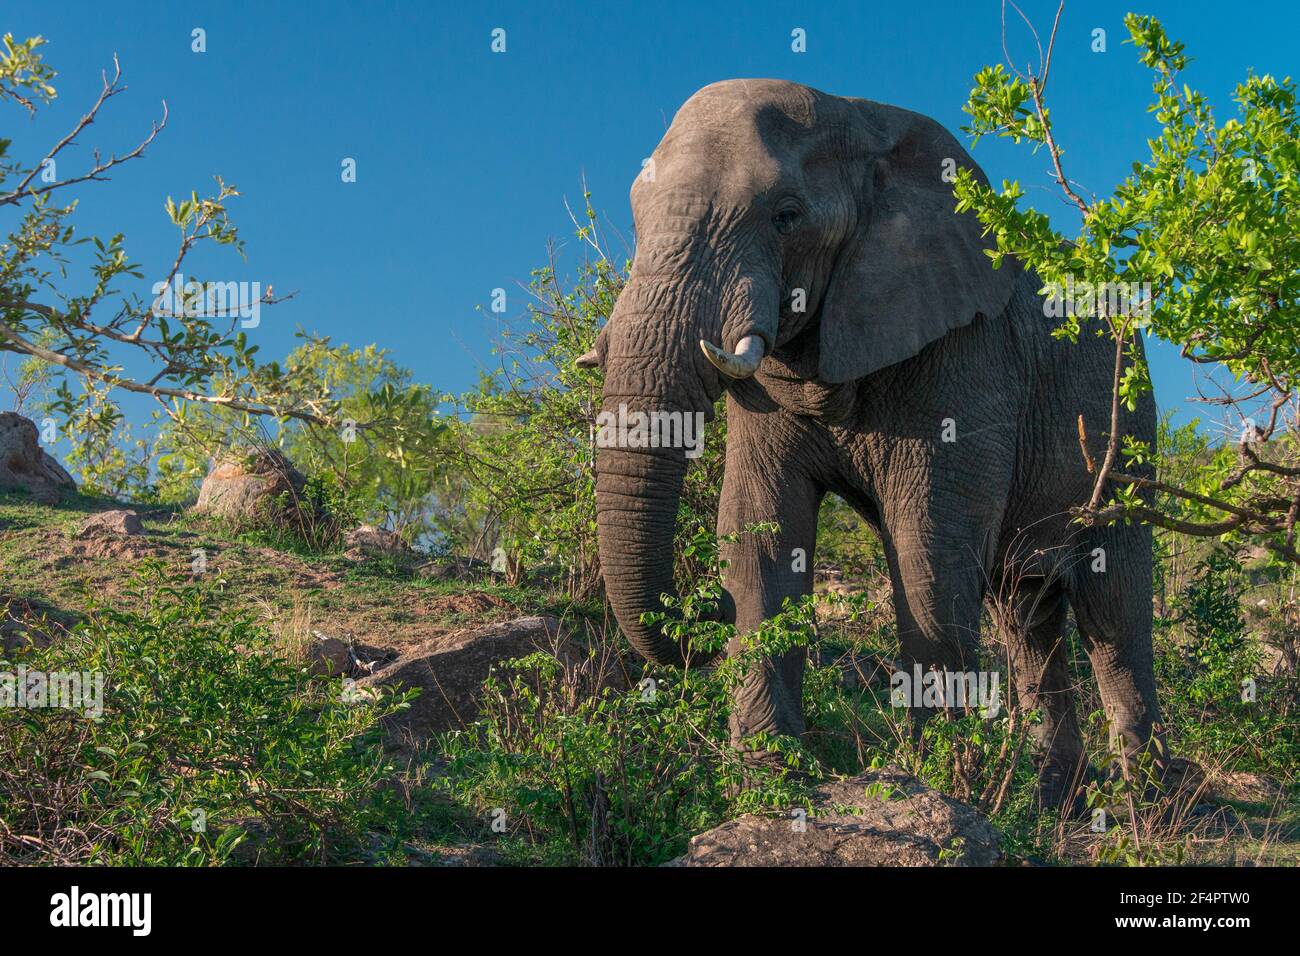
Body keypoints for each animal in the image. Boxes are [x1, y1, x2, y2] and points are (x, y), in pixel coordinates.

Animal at [579, 80, 1159, 806]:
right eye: (636, 219)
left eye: (786, 216)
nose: (705, 609)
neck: (855, 120)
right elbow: (760, 533)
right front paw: (771, 781)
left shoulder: (967, 348)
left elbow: (928, 548)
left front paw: (938, 783)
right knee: (1028, 615)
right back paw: (1054, 803)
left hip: (1129, 430)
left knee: (1115, 614)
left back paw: (1148, 806)